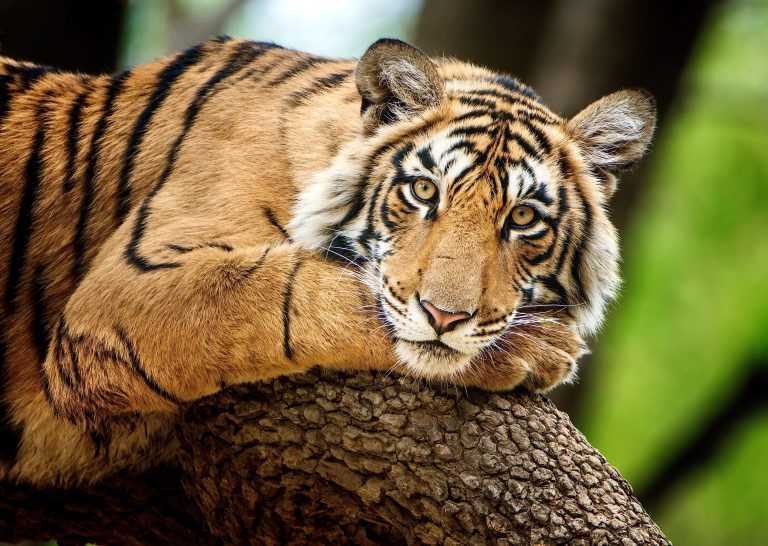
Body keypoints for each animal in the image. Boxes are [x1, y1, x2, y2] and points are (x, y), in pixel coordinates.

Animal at [0, 36, 655, 486]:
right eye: (424, 191)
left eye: (522, 219)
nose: (446, 317)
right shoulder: (127, 287)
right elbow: (294, 289)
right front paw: (535, 347)